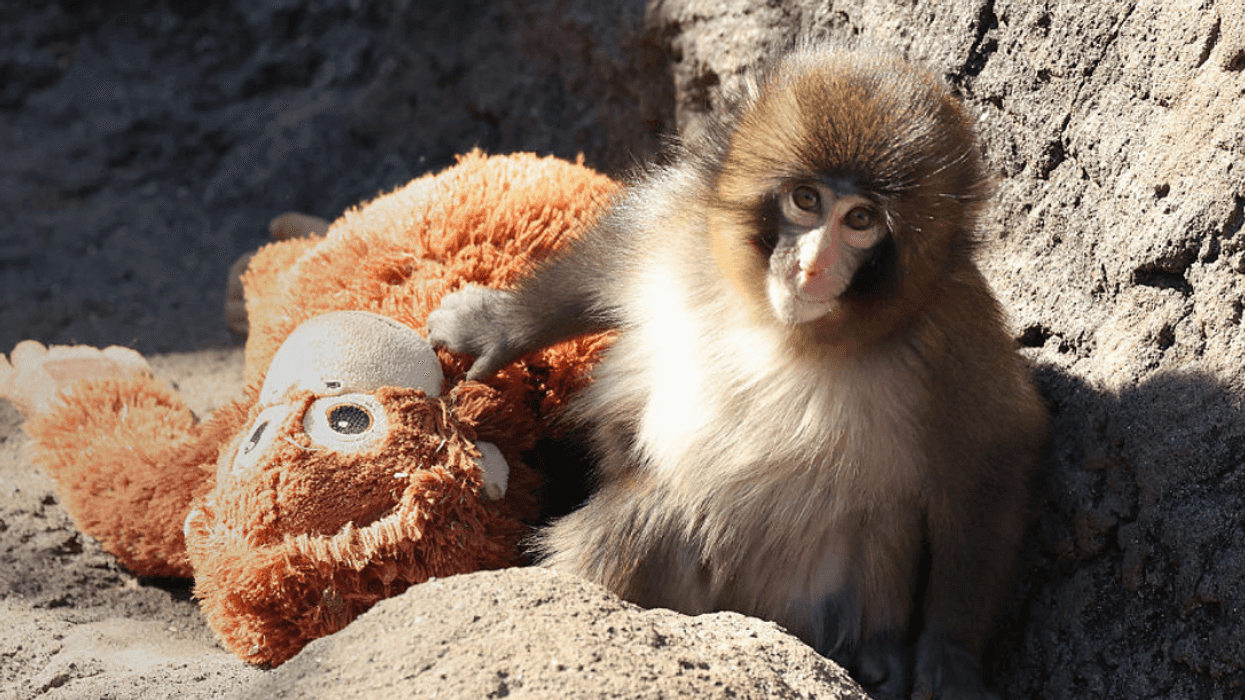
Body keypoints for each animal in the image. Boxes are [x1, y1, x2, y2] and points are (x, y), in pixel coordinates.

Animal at [427, 46, 1047, 700]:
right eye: (806, 200)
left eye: (860, 220)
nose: (812, 266)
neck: (783, 329)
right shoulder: (682, 223)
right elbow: (606, 262)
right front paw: (497, 325)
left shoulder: (954, 333)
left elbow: (994, 453)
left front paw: (949, 654)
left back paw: (877, 656)